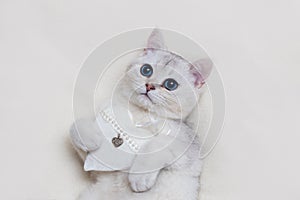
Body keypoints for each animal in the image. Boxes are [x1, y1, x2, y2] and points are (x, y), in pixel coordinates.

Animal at [70, 28, 212, 199]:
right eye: (146, 70)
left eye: (171, 84)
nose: (149, 86)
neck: (137, 115)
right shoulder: (94, 167)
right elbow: (75, 127)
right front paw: (90, 138)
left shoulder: (187, 151)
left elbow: (156, 144)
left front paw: (139, 177)